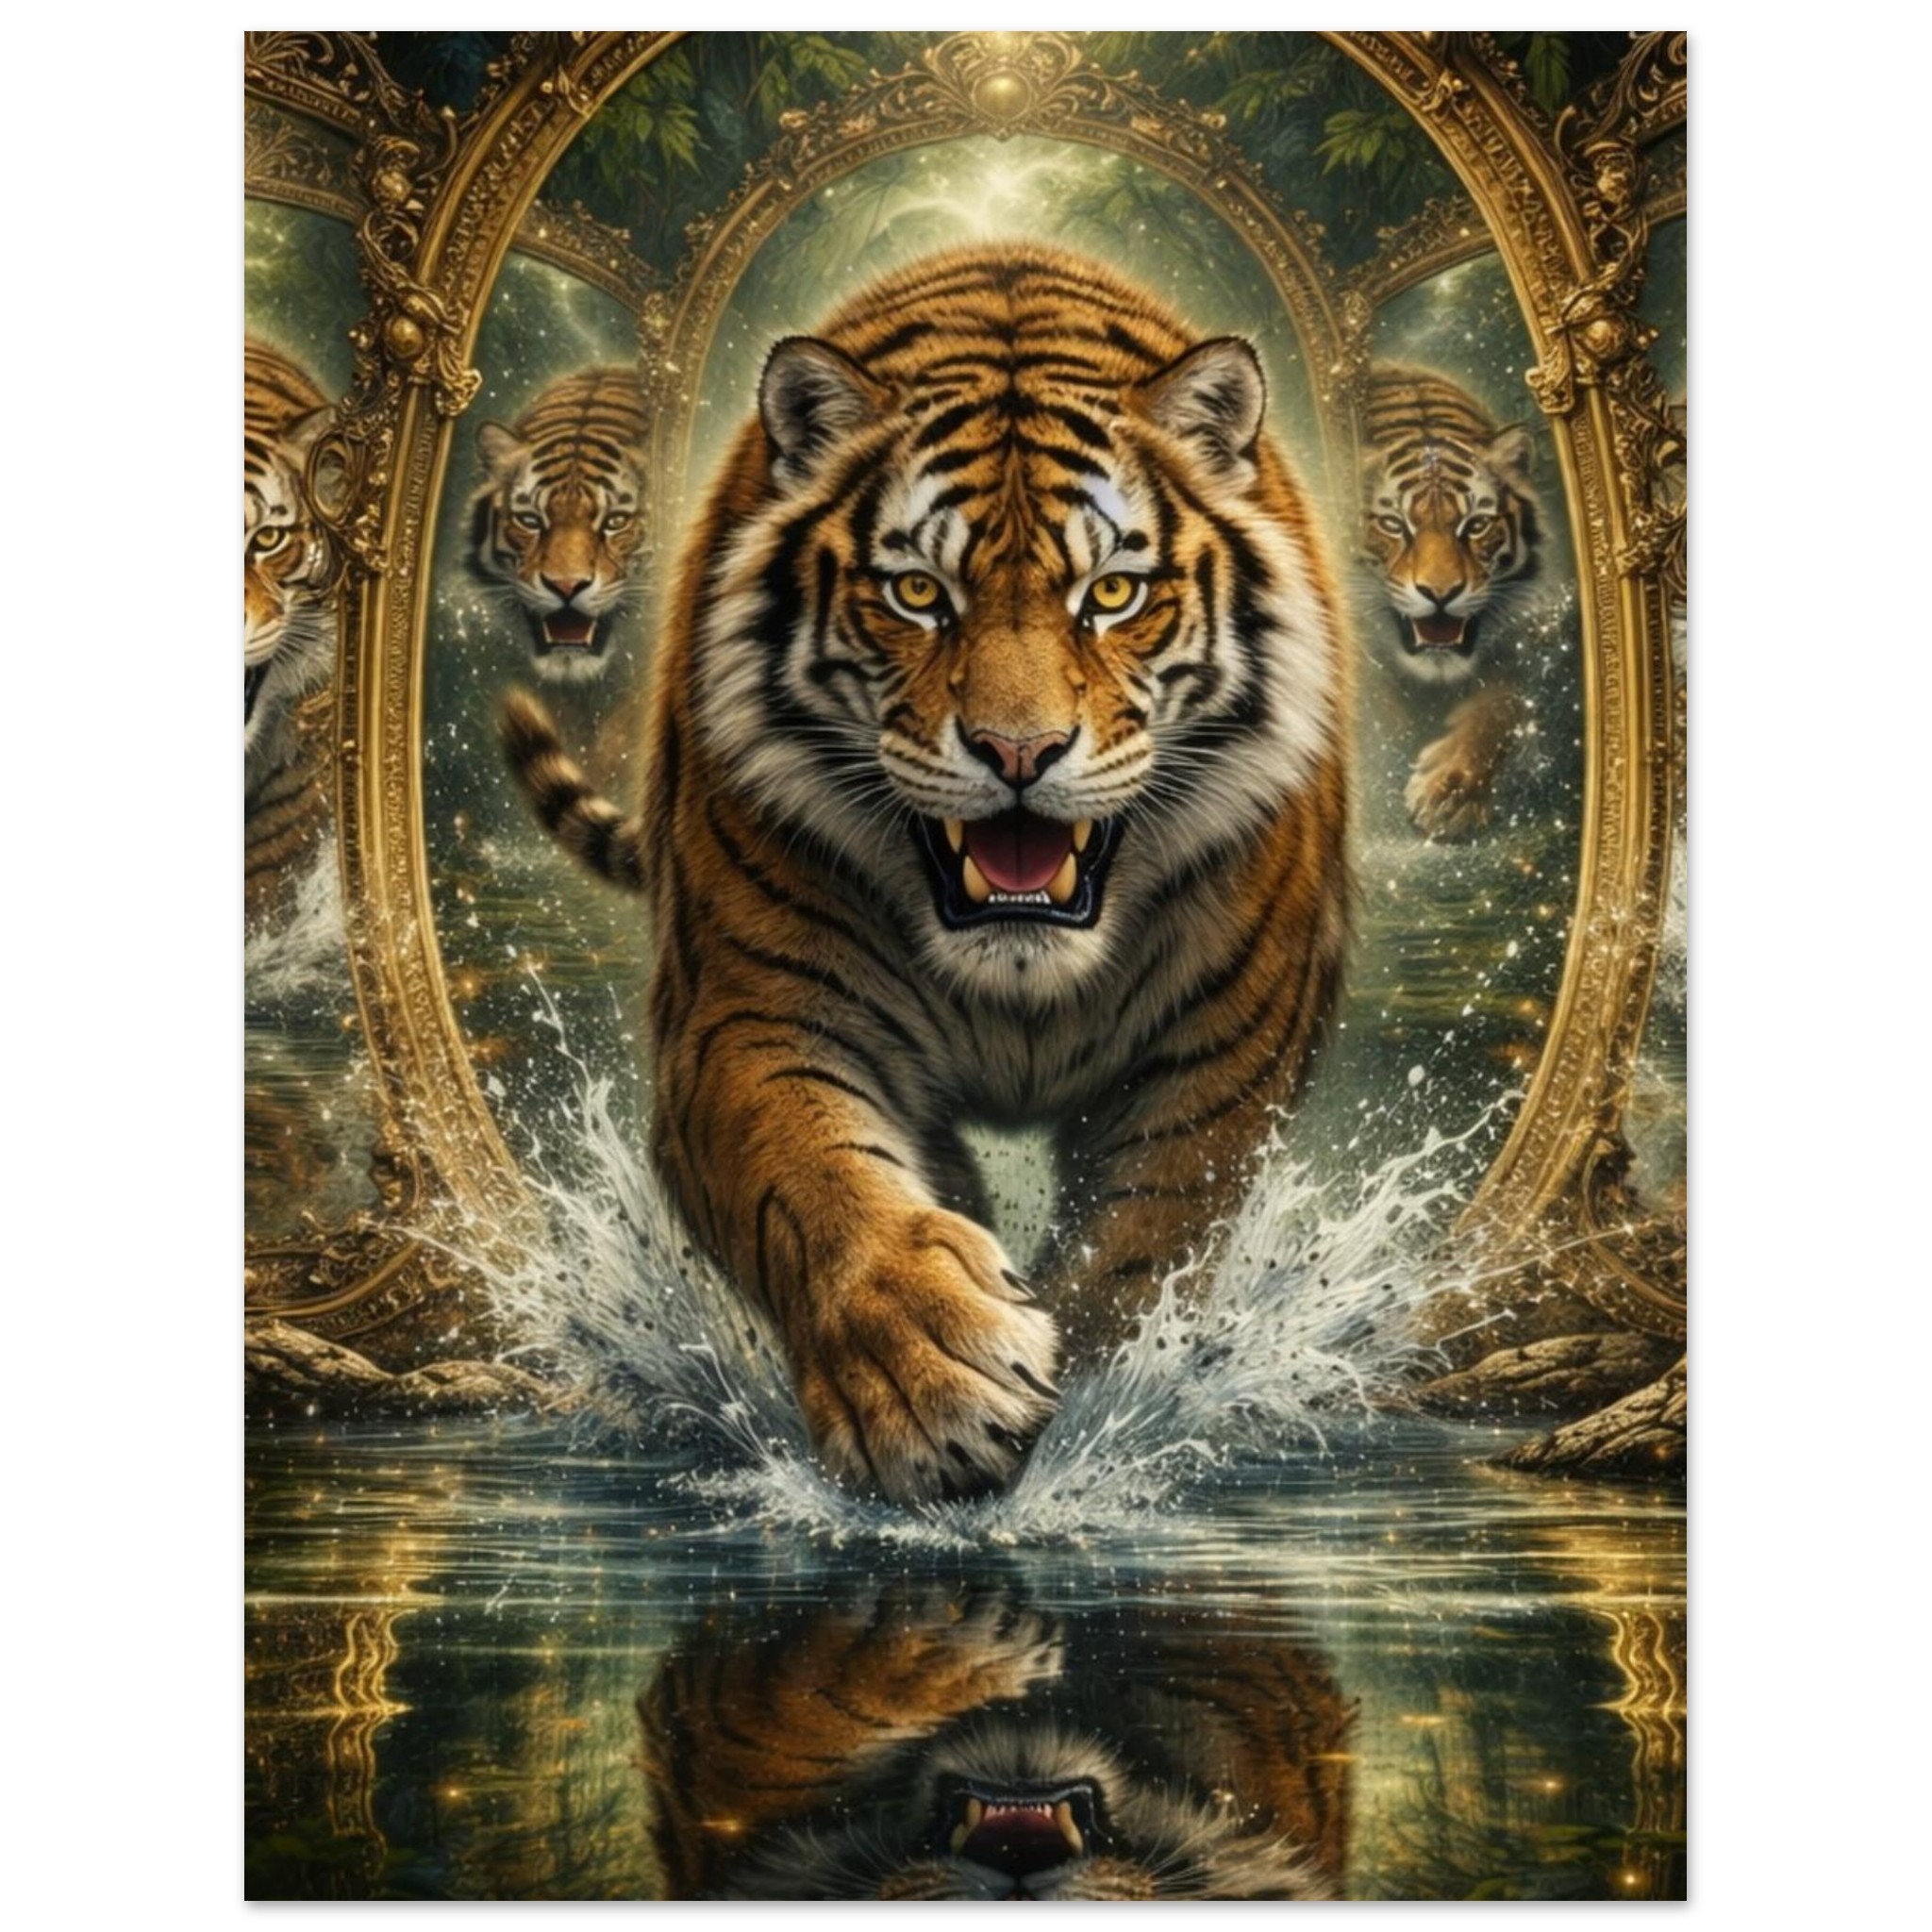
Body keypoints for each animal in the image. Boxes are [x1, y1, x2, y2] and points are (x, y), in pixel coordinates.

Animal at [502, 246, 1351, 1503]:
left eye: (1110, 595)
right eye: (917, 594)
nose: (1017, 752)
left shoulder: (1221, 1058)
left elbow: (1141, 1242)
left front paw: (1093, 1411)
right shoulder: (745, 1018)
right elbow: (814, 1177)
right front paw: (928, 1377)